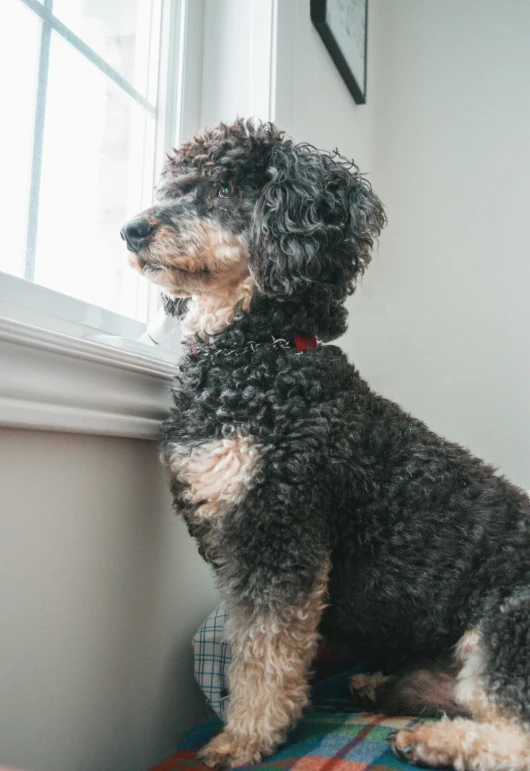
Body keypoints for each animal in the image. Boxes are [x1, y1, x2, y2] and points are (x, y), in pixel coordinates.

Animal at [121, 120, 528, 771]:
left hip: (508, 622)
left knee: (516, 735)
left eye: (228, 188)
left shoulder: (280, 532)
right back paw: (388, 692)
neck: (257, 354)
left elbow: (264, 652)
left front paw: (247, 734)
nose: (132, 229)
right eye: (177, 186)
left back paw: (433, 741)